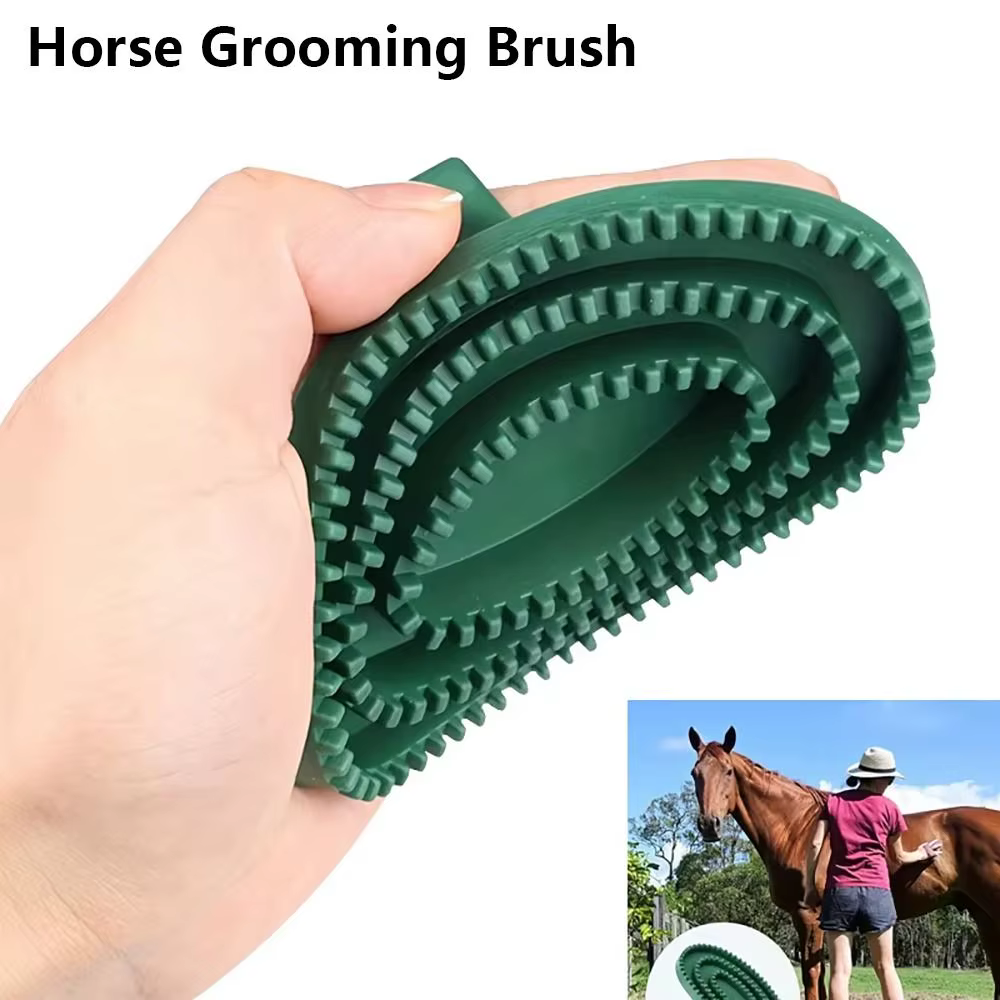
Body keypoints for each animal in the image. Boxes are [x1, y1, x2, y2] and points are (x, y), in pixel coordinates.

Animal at [688, 726, 1000, 1000]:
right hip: (984, 915)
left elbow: (812, 976)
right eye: (695, 773)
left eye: (728, 771)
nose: (709, 825)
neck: (796, 828)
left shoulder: (808, 916)